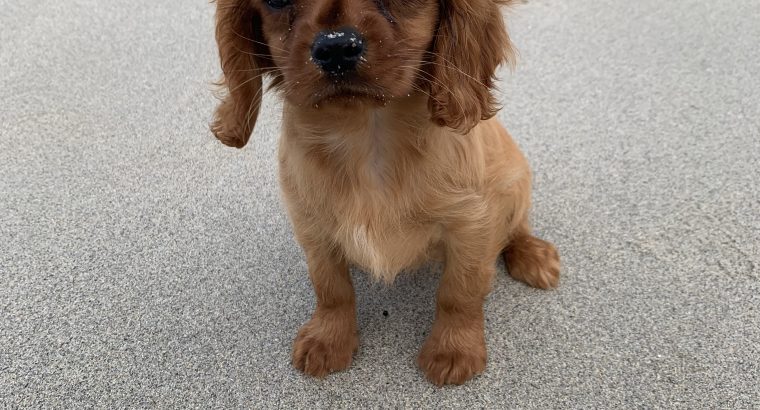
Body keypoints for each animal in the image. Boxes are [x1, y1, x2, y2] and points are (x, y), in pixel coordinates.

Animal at [208, 0, 560, 386]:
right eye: (276, 1)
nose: (335, 46)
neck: (367, 132)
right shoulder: (312, 226)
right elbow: (330, 287)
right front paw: (328, 339)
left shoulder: (473, 223)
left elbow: (459, 291)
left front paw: (453, 350)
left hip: (515, 177)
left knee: (517, 225)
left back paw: (533, 255)